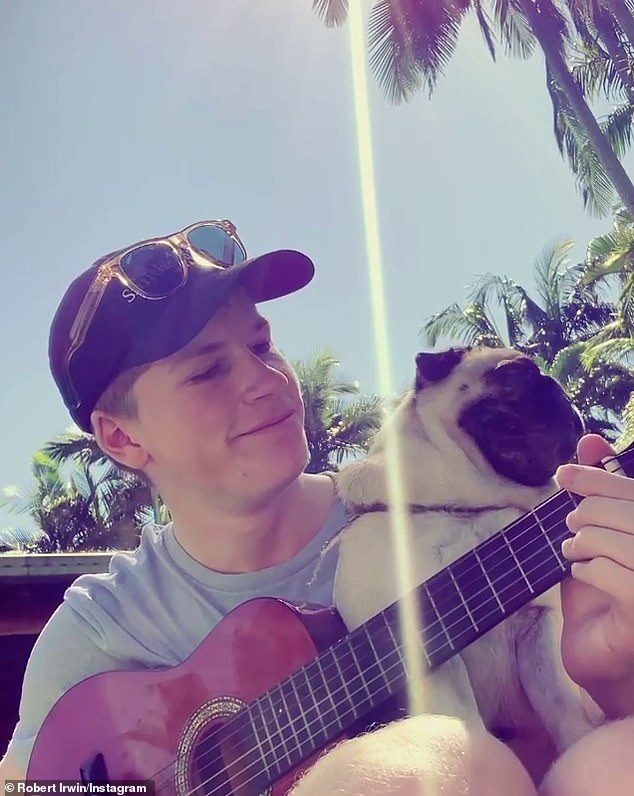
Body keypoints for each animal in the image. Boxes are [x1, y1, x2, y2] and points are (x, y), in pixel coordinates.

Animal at [330, 346, 596, 776]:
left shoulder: (538, 631)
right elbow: (466, 725)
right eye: (514, 374)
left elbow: (563, 706)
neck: (464, 508)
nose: (555, 387)